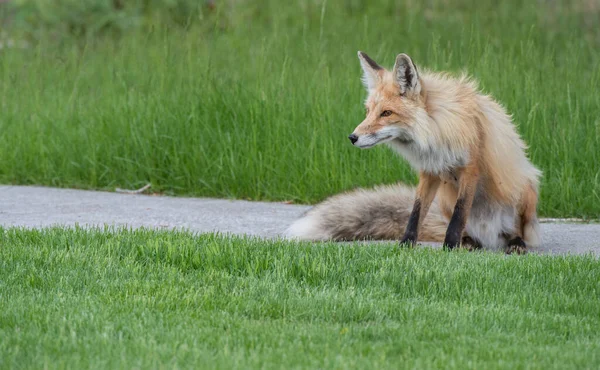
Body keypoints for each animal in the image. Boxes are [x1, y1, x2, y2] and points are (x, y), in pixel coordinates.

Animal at [288, 52, 540, 254]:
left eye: (386, 113)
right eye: (368, 112)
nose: (352, 137)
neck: (437, 133)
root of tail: (490, 235)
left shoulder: (470, 170)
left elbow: (459, 216)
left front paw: (449, 249)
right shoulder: (429, 172)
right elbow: (416, 213)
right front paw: (405, 246)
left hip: (523, 190)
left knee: (519, 231)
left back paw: (515, 243)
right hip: (445, 200)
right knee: (468, 231)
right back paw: (469, 242)